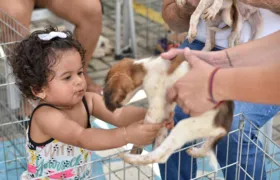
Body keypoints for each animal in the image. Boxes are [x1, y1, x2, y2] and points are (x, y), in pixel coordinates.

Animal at [103, 55, 234, 169]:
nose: (108, 106)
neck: (145, 69)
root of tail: (224, 127)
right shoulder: (166, 107)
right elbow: (161, 129)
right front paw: (158, 139)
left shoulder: (156, 108)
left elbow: (147, 125)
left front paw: (137, 147)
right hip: (210, 131)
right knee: (207, 147)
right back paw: (196, 152)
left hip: (187, 125)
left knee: (161, 156)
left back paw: (128, 157)